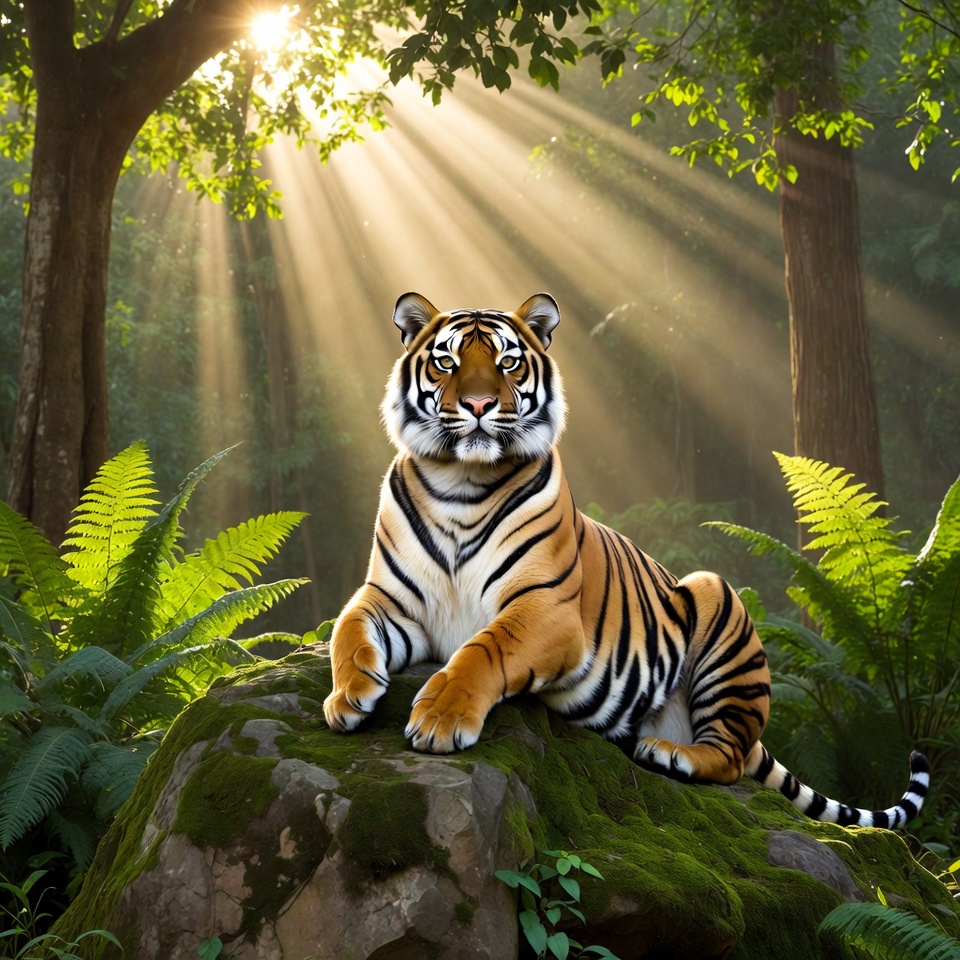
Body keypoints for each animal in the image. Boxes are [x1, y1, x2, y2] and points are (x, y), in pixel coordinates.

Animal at [322, 292, 929, 829]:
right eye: (446, 361)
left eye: (507, 362)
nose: (477, 405)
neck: (460, 484)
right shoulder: (391, 600)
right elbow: (347, 630)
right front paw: (347, 696)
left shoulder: (546, 608)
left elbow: (482, 649)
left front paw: (439, 717)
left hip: (717, 605)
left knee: (729, 757)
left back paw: (667, 752)